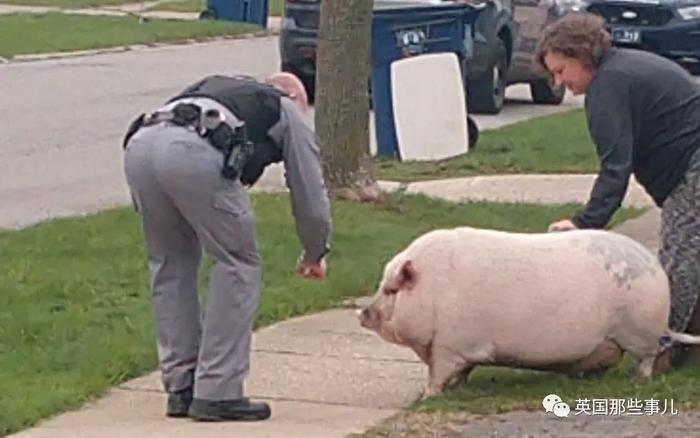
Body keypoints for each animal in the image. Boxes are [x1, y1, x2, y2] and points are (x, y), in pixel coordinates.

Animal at [360, 228, 700, 396]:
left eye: (391, 290)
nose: (362, 313)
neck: (434, 292)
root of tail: (655, 266)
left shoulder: (450, 344)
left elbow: (440, 373)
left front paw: (428, 395)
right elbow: (461, 372)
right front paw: (458, 388)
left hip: (641, 330)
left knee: (648, 357)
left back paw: (638, 380)